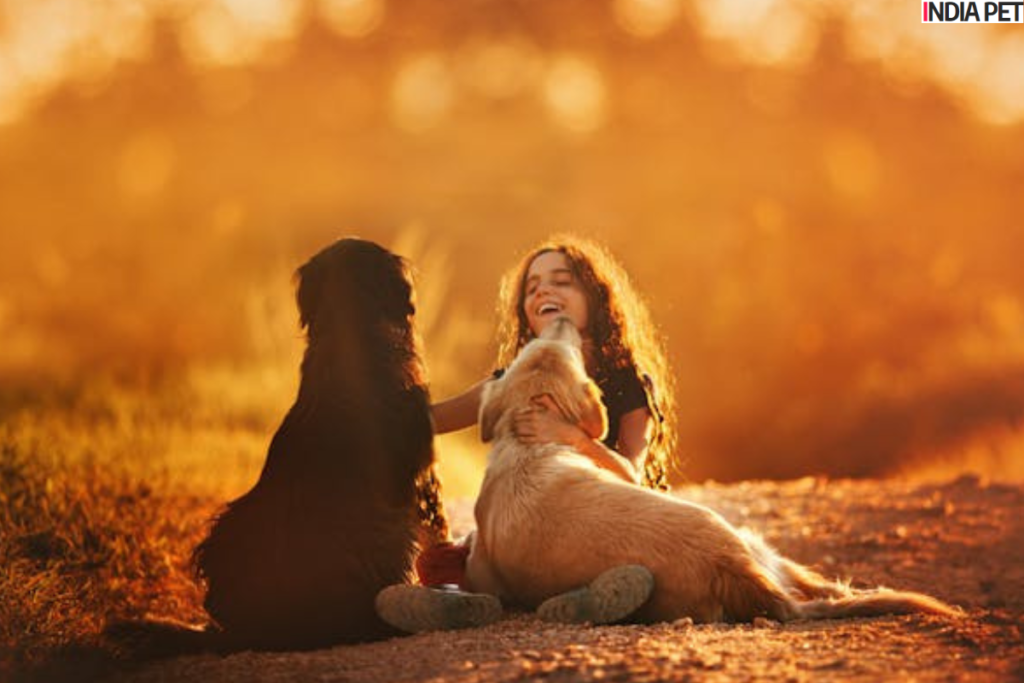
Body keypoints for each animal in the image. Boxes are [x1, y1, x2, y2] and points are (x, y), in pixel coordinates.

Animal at [468, 317, 954, 622]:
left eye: (555, 347)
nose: (564, 319)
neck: (530, 438)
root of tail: (732, 565)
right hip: (753, 540)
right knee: (826, 587)